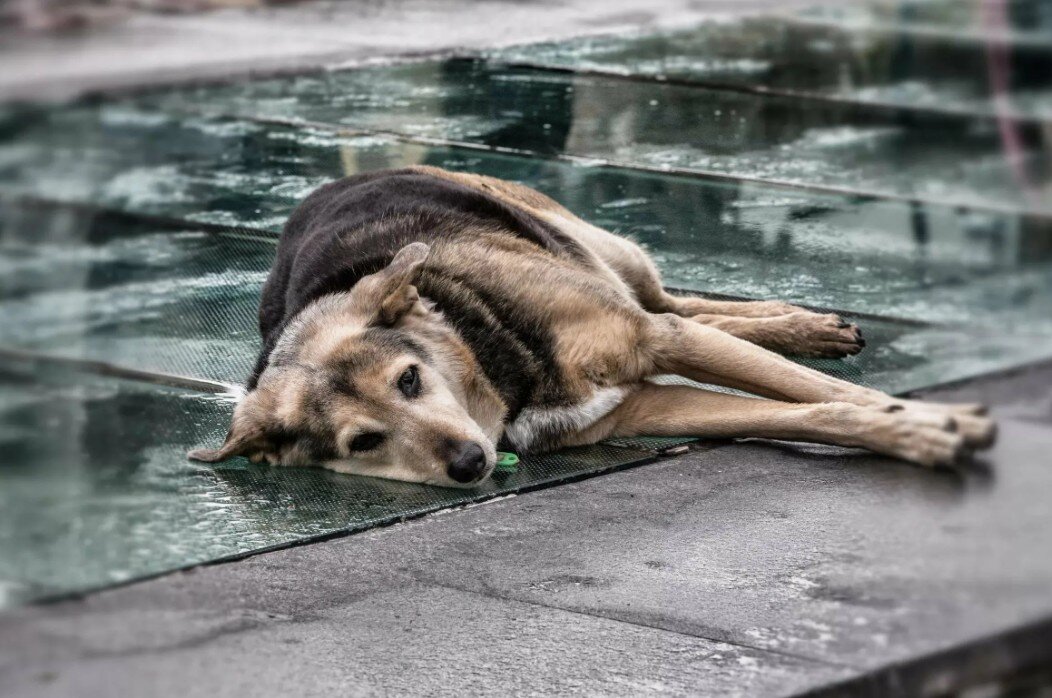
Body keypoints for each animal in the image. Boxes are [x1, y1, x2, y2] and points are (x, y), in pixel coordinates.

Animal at [187, 166, 993, 488]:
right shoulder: (646, 405)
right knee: (685, 308)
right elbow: (815, 410)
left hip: (601, 246)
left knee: (674, 303)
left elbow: (826, 391)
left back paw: (811, 326)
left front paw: (934, 419)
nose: (470, 465)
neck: (498, 363)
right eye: (363, 442)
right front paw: (922, 432)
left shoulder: (651, 344)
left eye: (409, 379)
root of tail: (333, 180)